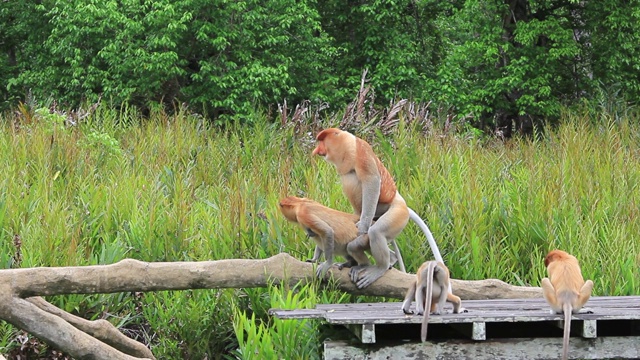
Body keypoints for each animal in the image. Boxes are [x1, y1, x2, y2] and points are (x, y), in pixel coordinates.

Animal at [276, 195, 404, 278]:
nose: (283, 214)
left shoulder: (303, 214)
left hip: (365, 237)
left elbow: (327, 231)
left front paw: (327, 264)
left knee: (352, 246)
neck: (300, 203)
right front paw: (314, 259)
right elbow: (320, 237)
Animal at [312, 128, 444, 288]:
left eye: (322, 140)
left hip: (398, 213)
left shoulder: (360, 150)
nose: (317, 150)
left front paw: (361, 227)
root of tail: (401, 201)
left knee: (376, 232)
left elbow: (372, 181)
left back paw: (381, 266)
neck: (344, 145)